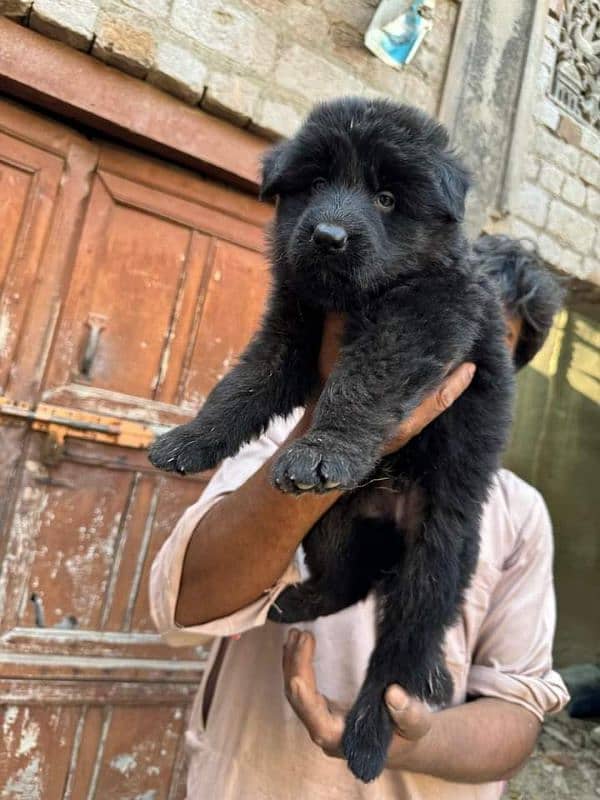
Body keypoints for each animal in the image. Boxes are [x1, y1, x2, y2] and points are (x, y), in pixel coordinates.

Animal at [152, 98, 512, 780]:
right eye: (315, 184)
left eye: (388, 198)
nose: (327, 237)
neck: (352, 298)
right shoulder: (290, 323)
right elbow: (242, 384)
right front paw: (189, 439)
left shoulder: (425, 315)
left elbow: (364, 377)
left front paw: (323, 449)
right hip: (333, 524)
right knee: (349, 583)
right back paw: (295, 602)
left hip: (436, 557)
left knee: (399, 652)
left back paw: (368, 737)